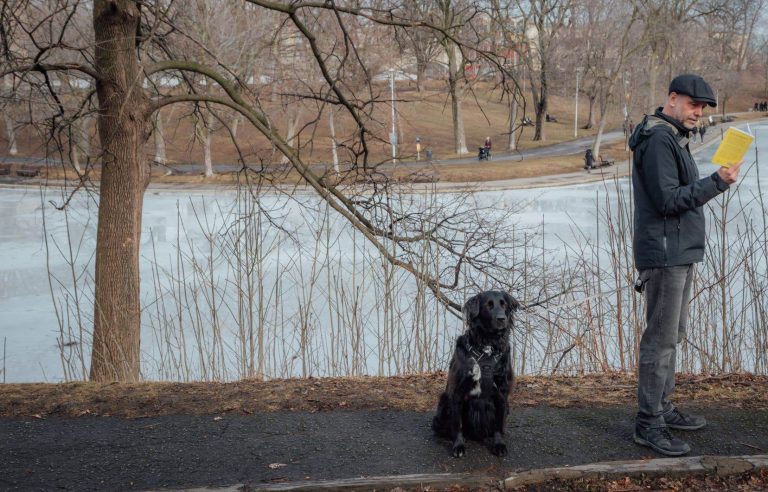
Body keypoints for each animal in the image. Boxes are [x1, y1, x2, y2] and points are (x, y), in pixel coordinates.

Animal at [432, 290, 520, 456]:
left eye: (504, 305)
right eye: (488, 305)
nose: (502, 319)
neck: (488, 348)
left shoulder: (502, 393)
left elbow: (498, 424)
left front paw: (499, 444)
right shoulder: (457, 392)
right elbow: (458, 425)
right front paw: (458, 446)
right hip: (444, 401)